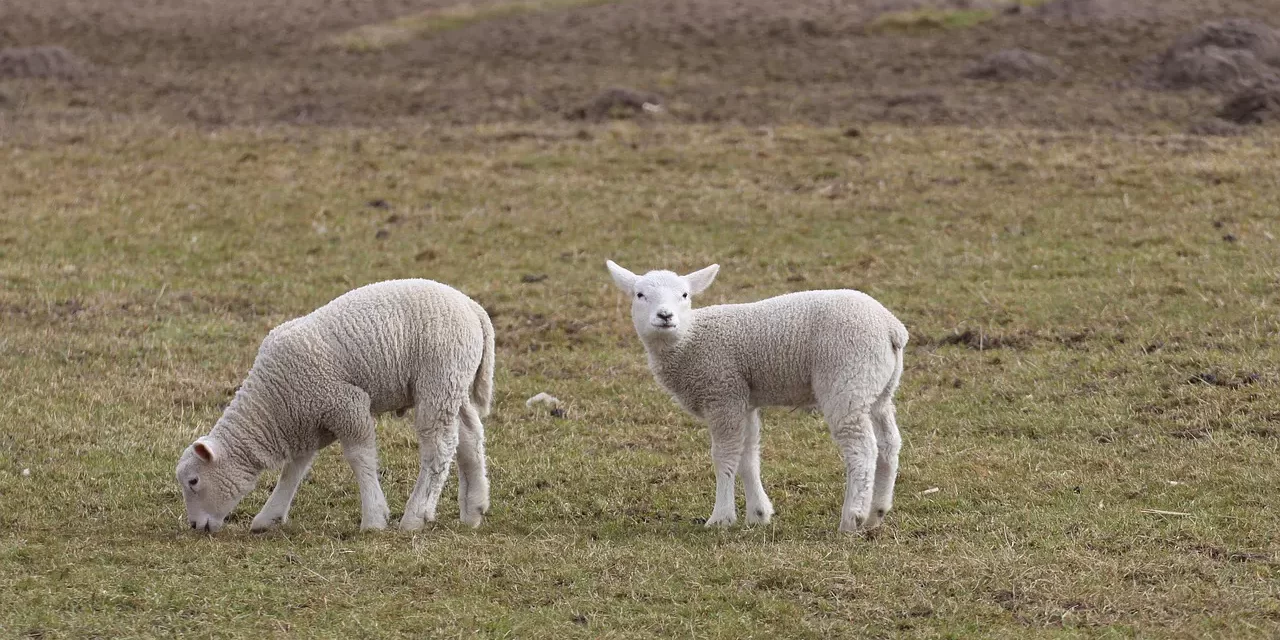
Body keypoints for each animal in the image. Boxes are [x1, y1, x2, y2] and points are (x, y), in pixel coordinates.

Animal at [174, 278, 495, 533]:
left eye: (193, 481)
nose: (195, 526)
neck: (272, 403)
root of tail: (473, 308)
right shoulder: (305, 422)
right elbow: (293, 470)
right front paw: (269, 517)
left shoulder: (345, 404)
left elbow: (359, 458)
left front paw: (374, 519)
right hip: (455, 384)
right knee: (470, 437)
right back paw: (474, 509)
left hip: (439, 379)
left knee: (439, 448)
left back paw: (415, 516)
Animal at [605, 261, 907, 532]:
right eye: (640, 295)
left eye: (684, 295)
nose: (665, 316)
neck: (689, 339)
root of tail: (891, 327)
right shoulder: (742, 399)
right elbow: (748, 456)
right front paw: (758, 514)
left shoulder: (722, 393)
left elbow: (724, 456)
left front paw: (721, 518)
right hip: (877, 388)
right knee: (889, 442)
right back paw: (877, 512)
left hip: (847, 380)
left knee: (862, 448)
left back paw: (852, 518)